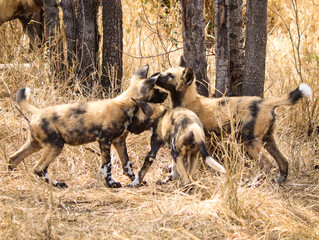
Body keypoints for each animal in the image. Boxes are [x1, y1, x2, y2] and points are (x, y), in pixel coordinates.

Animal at [8, 65, 168, 188]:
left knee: (13, 159)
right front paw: (111, 184)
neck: (125, 106)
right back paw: (58, 184)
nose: (166, 94)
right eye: (156, 89)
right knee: (39, 169)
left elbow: (127, 165)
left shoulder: (119, 141)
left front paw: (136, 181)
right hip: (56, 145)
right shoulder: (104, 140)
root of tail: (37, 111)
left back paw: (9, 177)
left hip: (36, 144)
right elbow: (107, 166)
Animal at [156, 56, 314, 184]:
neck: (187, 100)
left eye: (170, 75)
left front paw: (172, 177)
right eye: (166, 71)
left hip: (249, 141)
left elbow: (176, 165)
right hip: (268, 140)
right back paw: (280, 181)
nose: (156, 76)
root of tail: (266, 103)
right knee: (283, 161)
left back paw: (254, 182)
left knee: (267, 163)